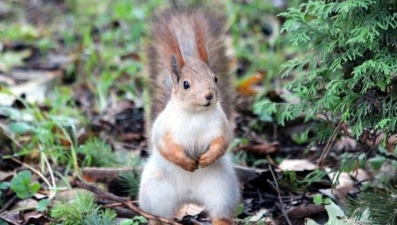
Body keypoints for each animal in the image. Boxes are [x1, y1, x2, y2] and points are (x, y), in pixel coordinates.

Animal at [139, 5, 238, 225]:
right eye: (186, 84)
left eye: (215, 78)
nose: (209, 95)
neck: (195, 114)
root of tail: (190, 197)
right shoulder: (164, 128)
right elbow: (165, 145)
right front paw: (185, 162)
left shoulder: (221, 126)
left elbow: (222, 142)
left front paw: (208, 158)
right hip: (154, 192)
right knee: (158, 216)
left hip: (222, 190)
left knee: (220, 214)